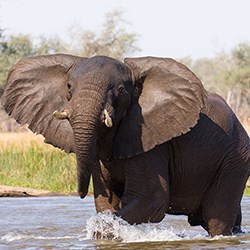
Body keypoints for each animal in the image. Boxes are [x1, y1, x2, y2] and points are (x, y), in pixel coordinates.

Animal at [1, 53, 250, 235]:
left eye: (121, 91)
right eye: (69, 87)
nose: (79, 193)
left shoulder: (149, 141)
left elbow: (153, 199)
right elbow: (107, 203)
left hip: (235, 159)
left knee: (216, 216)